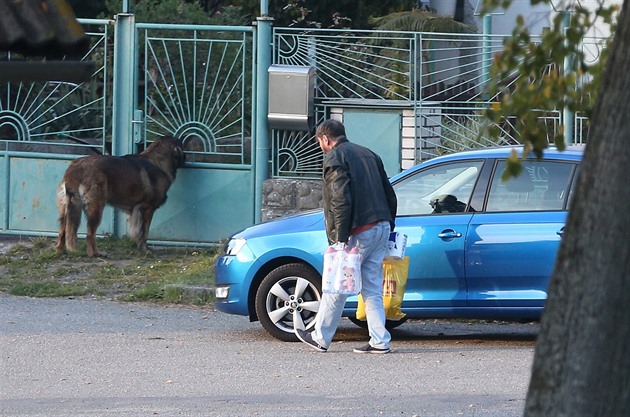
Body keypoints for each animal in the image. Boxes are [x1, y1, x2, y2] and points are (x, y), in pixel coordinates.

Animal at [55, 135, 185, 255]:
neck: (158, 161)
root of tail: (75, 168)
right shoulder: (147, 209)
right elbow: (144, 232)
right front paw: (144, 249)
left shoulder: (136, 210)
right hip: (96, 207)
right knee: (90, 234)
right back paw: (95, 253)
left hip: (67, 207)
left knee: (63, 231)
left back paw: (60, 250)